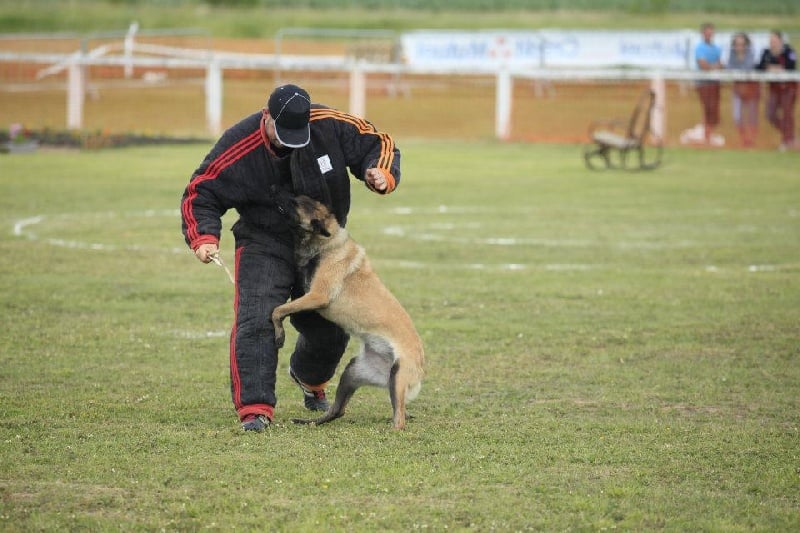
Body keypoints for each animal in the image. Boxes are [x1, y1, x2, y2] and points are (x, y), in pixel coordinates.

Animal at [272, 194, 424, 428]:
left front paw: (279, 334)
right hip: (353, 372)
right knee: (338, 410)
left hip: (398, 376)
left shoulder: (318, 295)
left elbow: (278, 310)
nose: (274, 191)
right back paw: (310, 422)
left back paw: (391, 429)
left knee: (399, 419)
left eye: (295, 203)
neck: (326, 242)